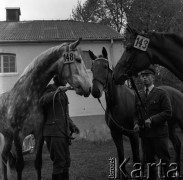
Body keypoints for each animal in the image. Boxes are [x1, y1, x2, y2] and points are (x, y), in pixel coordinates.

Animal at [0, 39, 91, 180]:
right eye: (78, 59)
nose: (89, 87)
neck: (29, 96)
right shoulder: (18, 136)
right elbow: (19, 166)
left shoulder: (38, 133)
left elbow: (38, 163)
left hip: (7, 136)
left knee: (4, 156)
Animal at [88, 47, 140, 179]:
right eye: (92, 68)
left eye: (105, 67)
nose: (95, 91)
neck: (118, 104)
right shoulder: (116, 134)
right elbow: (121, 159)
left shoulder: (134, 135)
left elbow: (136, 158)